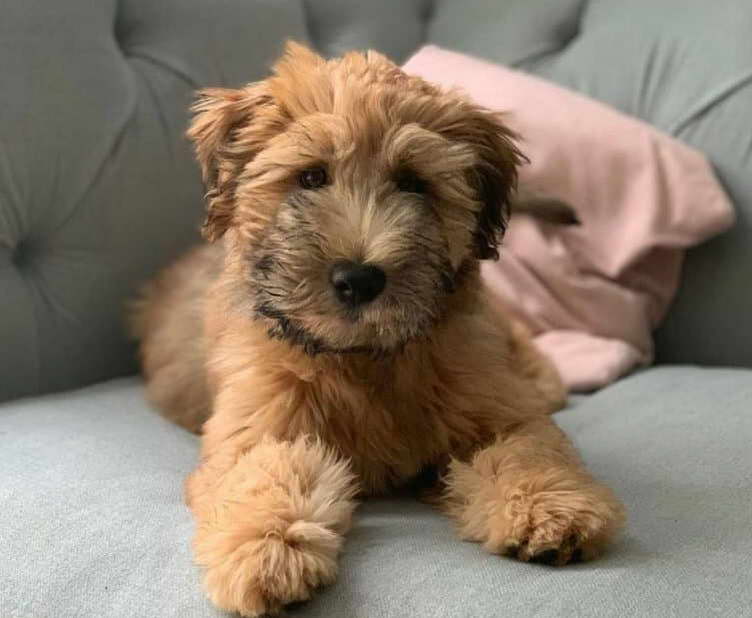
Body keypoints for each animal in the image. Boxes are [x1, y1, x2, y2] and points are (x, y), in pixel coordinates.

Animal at [132, 44, 624, 616]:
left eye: (413, 182)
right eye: (311, 177)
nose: (358, 278)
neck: (365, 357)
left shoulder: (494, 406)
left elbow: (526, 449)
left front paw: (551, 507)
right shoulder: (256, 425)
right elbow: (268, 472)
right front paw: (265, 550)